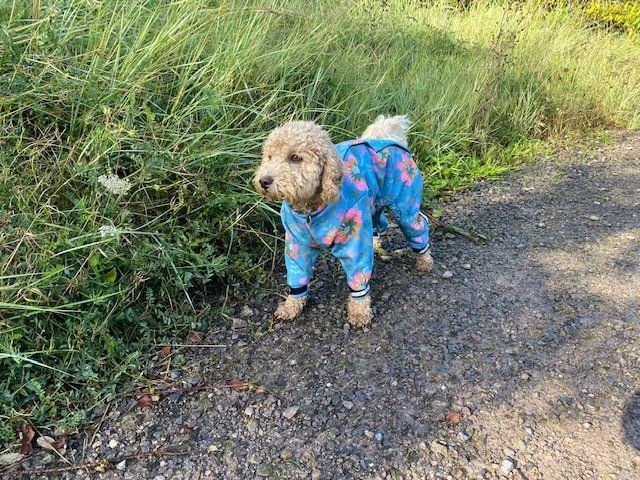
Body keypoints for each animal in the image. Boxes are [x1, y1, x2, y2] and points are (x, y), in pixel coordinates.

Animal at [254, 115, 433, 327]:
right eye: (269, 156)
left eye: (295, 158)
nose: (264, 181)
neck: (310, 208)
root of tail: (389, 138)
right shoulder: (297, 244)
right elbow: (298, 276)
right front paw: (291, 306)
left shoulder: (354, 238)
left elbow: (358, 277)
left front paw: (359, 311)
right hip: (373, 204)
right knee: (379, 223)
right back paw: (376, 243)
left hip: (405, 206)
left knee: (418, 227)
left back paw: (425, 260)